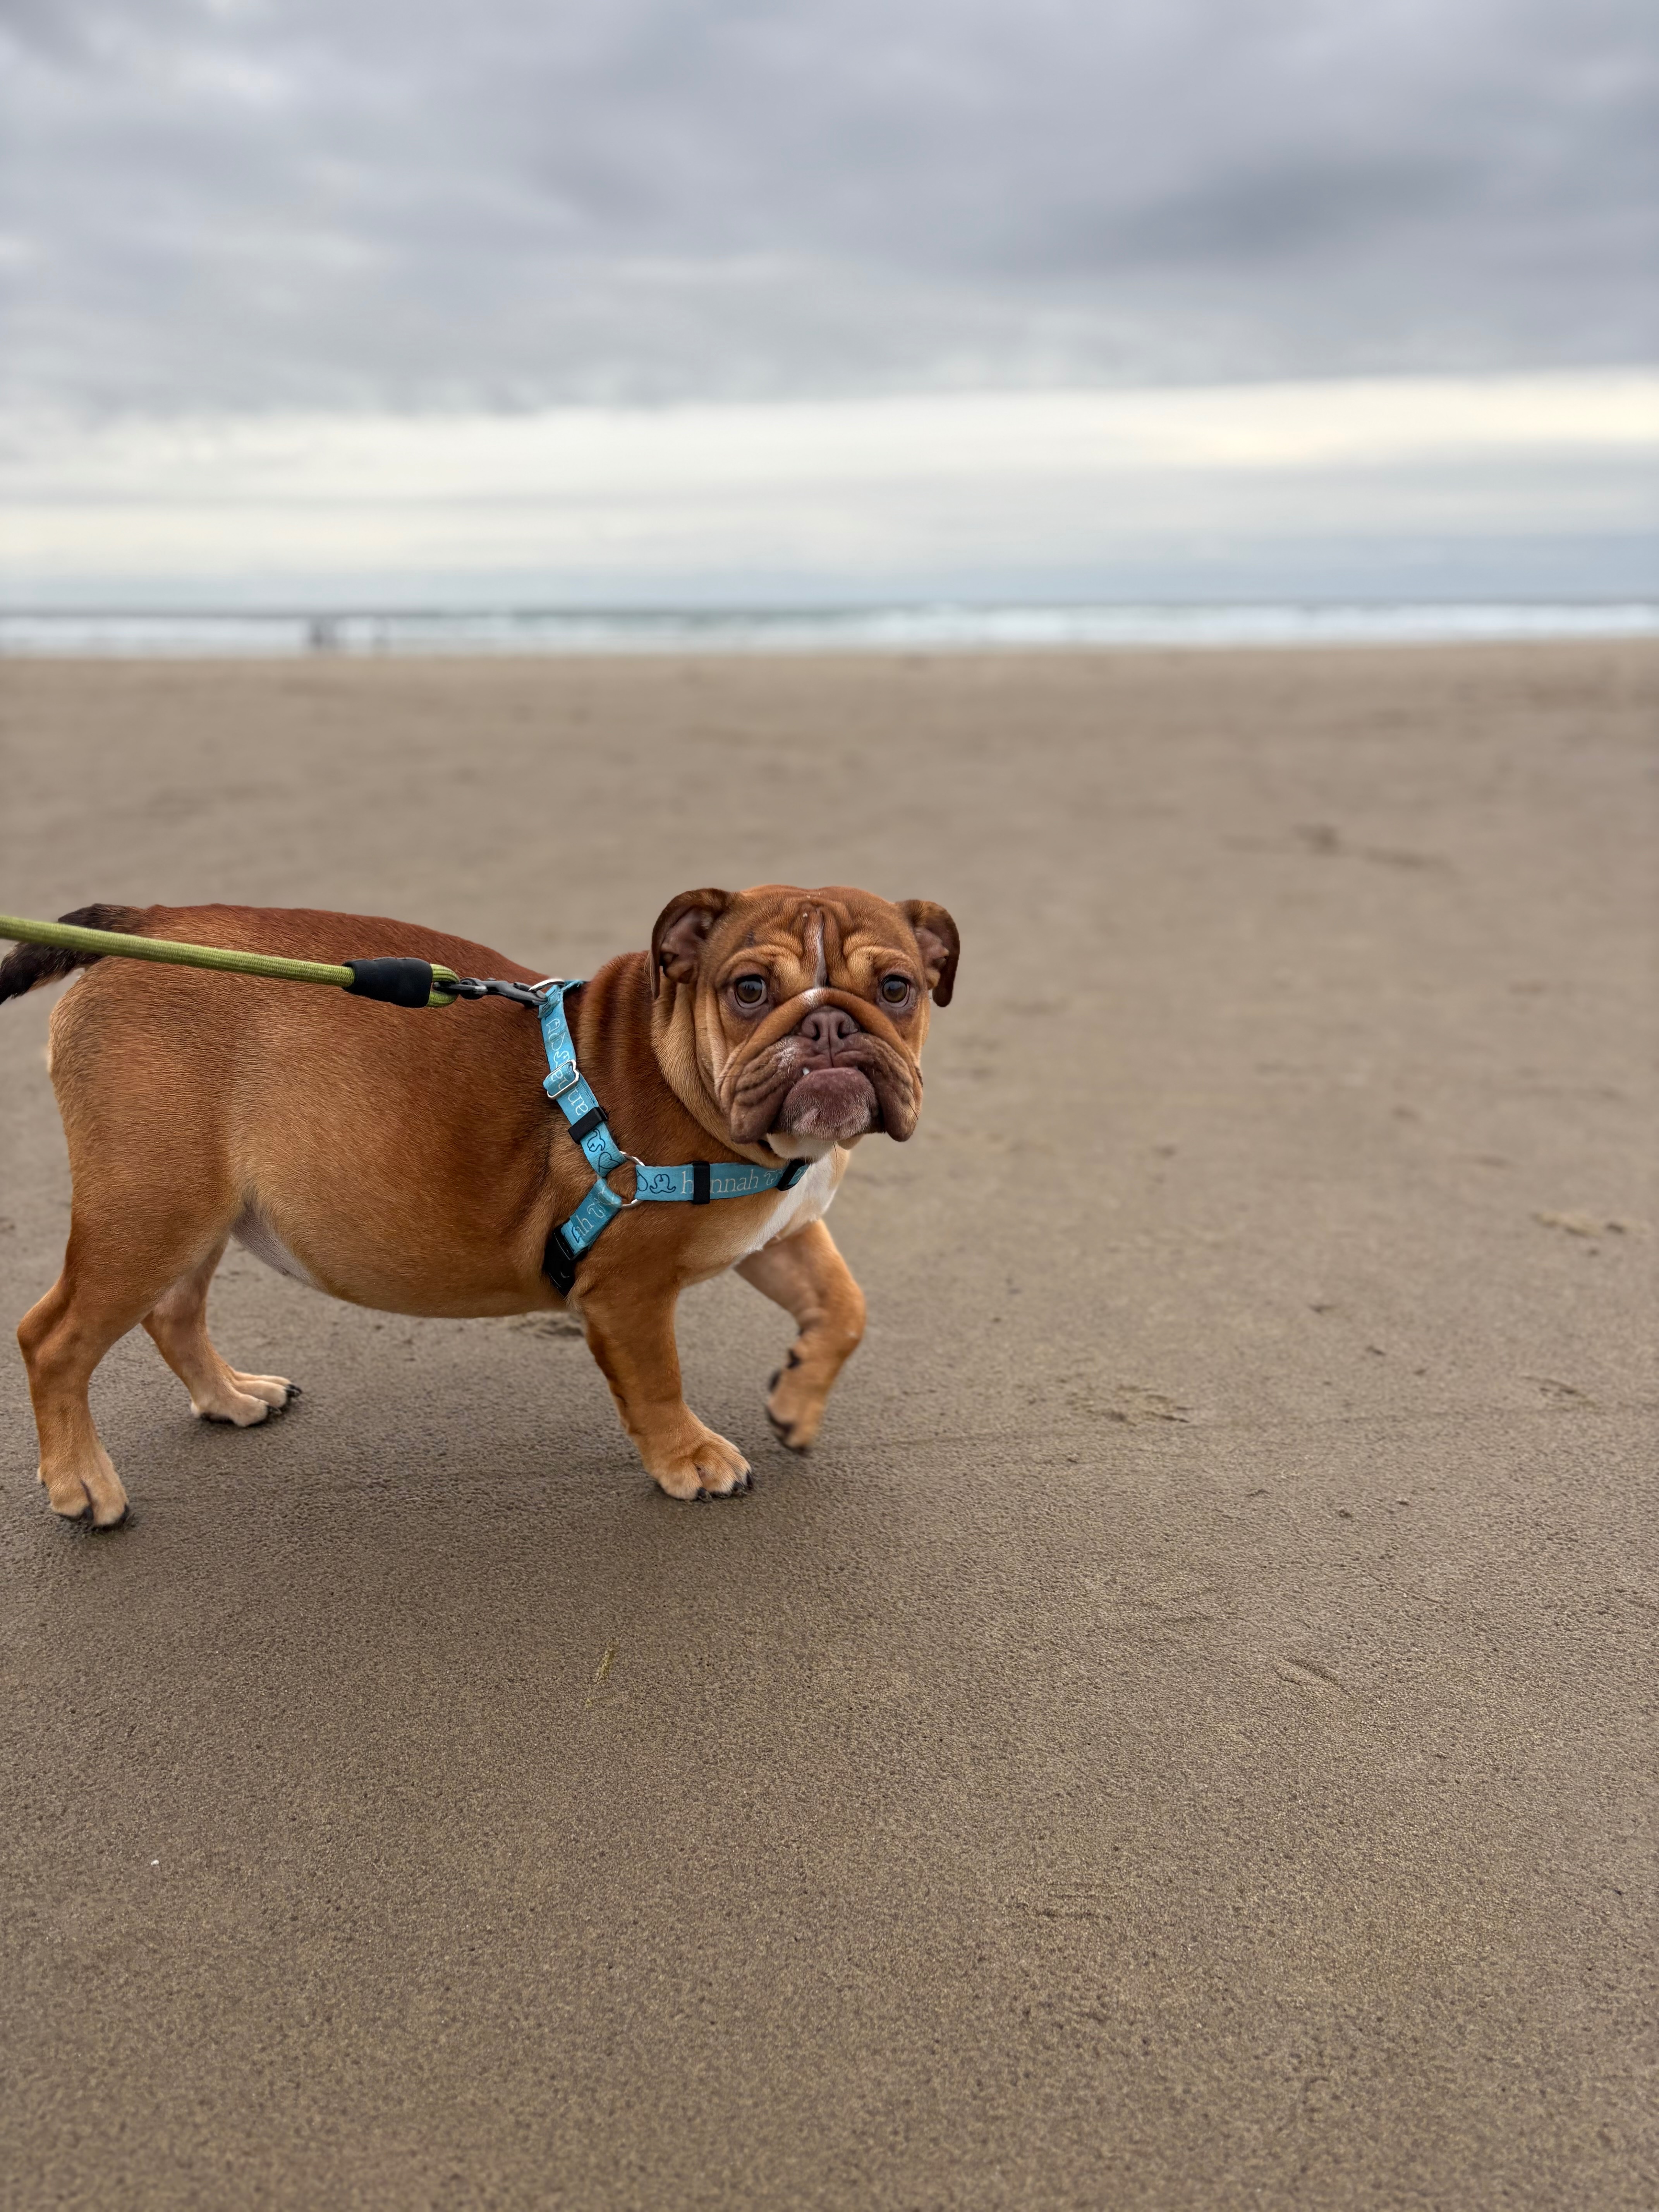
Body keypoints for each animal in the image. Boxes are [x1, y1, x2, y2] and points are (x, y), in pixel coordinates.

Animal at [2, 884, 958, 1525]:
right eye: (750, 990)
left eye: (899, 989)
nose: (829, 1025)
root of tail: (145, 926)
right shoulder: (630, 1293)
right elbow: (659, 1379)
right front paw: (689, 1457)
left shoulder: (778, 1234)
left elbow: (843, 1306)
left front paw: (796, 1402)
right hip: (149, 1210)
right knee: (54, 1339)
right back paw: (82, 1484)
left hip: (197, 1211)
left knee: (173, 1313)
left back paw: (231, 1396)